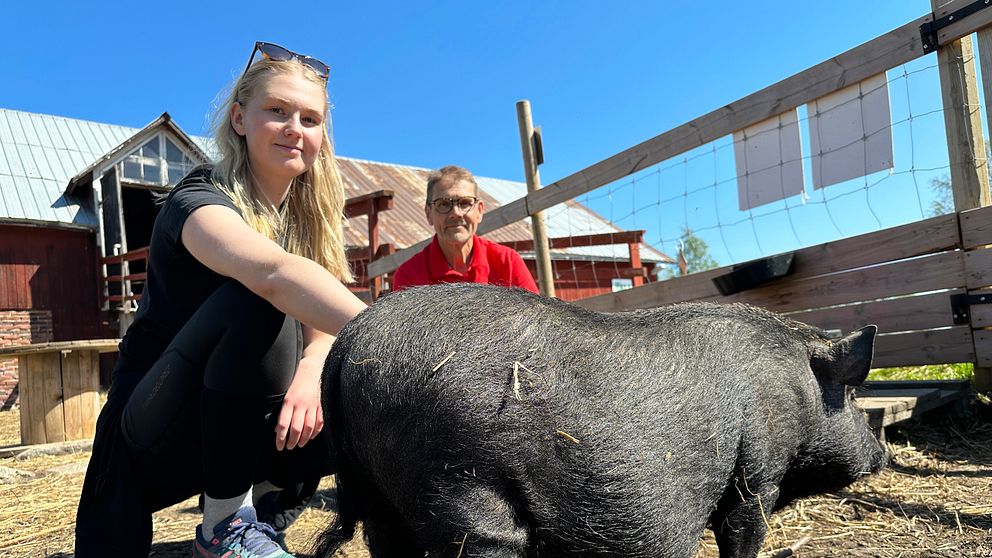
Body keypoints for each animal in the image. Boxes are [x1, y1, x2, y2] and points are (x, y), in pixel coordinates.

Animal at [314, 286, 888, 556]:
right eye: (853, 392)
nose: (882, 453)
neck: (800, 388)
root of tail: (349, 343)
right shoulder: (759, 473)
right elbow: (739, 535)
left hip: (381, 502)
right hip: (461, 487)